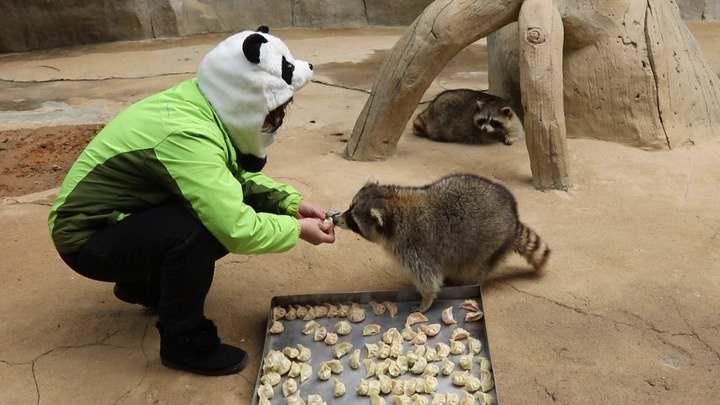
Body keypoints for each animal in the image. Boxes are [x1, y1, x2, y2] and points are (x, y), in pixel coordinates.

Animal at [334, 174, 552, 312]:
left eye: (353, 221)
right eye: (349, 207)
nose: (336, 219)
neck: (394, 204)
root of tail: (513, 219)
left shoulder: (414, 248)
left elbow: (429, 280)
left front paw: (426, 301)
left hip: (489, 245)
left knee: (472, 269)